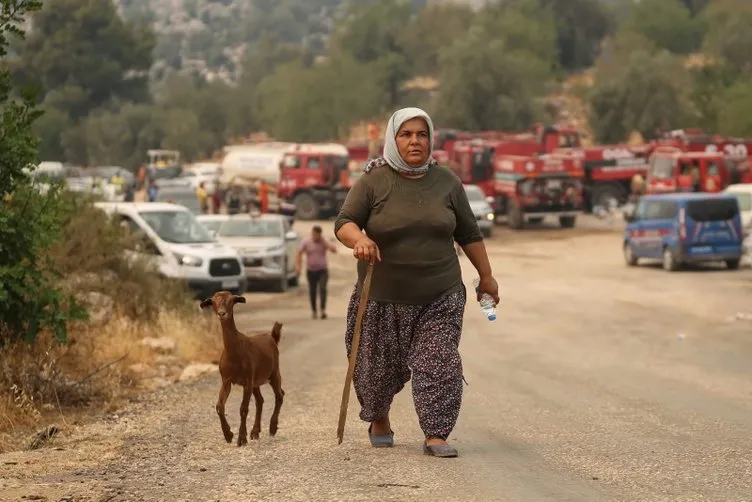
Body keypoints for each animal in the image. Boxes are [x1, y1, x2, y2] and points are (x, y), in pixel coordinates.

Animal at [198, 290, 284, 448]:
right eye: (213, 302)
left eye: (231, 301)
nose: (222, 313)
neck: (235, 352)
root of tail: (272, 338)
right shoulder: (227, 380)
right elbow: (219, 406)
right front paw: (228, 435)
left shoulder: (247, 381)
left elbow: (243, 409)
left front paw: (241, 438)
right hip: (256, 381)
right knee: (260, 400)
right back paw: (255, 432)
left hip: (274, 373)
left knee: (279, 395)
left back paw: (272, 428)